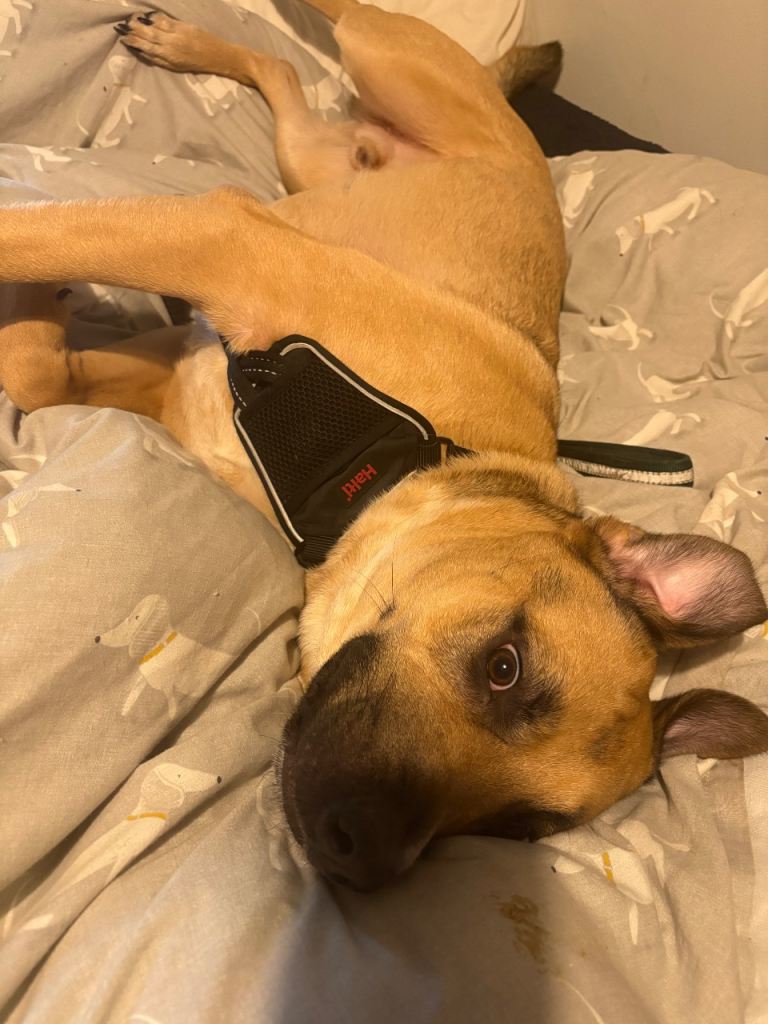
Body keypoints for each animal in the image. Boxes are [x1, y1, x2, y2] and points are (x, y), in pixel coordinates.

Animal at [0, 0, 766, 892]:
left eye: (515, 830)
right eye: (505, 666)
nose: (360, 854)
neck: (411, 460)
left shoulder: (165, 373)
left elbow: (36, 369)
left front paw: (42, 307)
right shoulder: (228, 245)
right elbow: (33, 248)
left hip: (305, 157)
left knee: (285, 77)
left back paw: (185, 44)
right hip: (381, 56)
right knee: (330, 24)